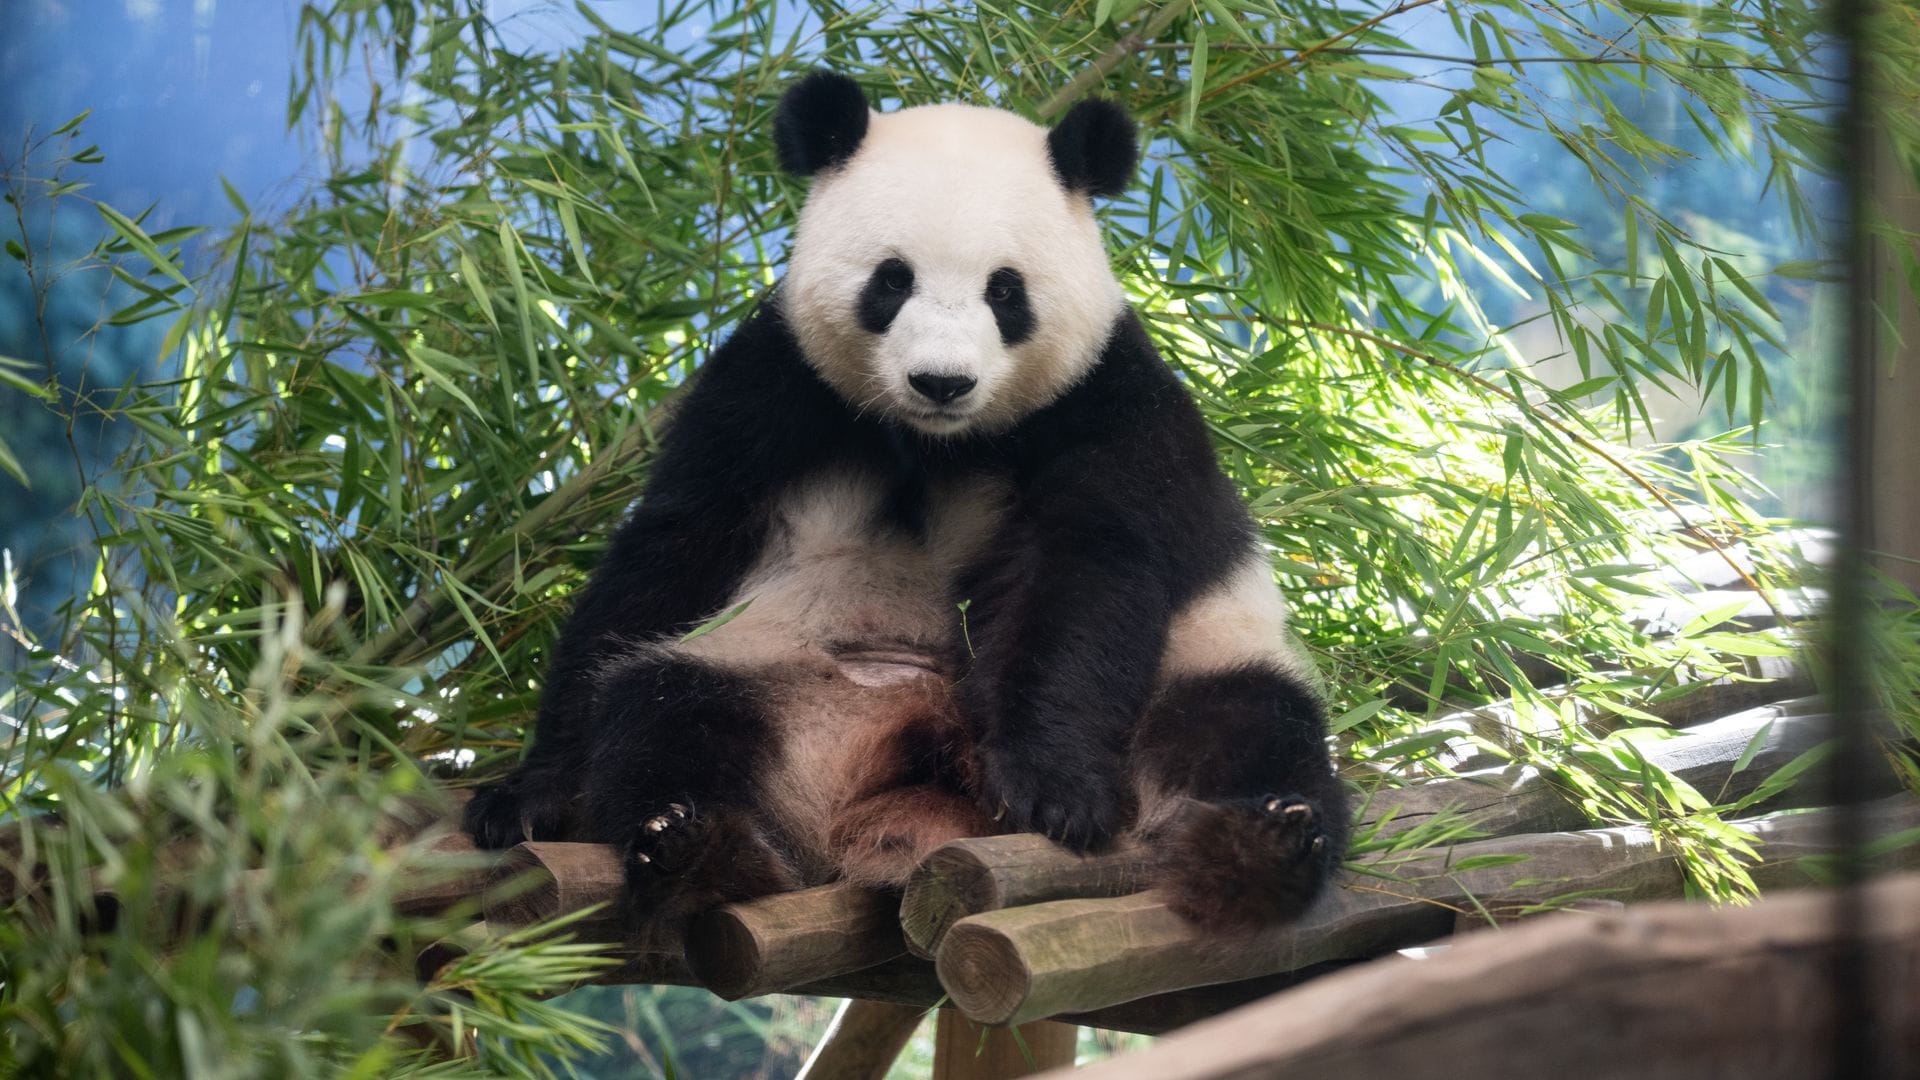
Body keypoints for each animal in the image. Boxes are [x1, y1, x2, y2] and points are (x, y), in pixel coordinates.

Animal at [465, 71, 1350, 934]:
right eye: (893, 280)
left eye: (1006, 291)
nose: (942, 381)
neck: (939, 440)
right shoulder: (773, 385)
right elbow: (677, 544)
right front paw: (528, 794)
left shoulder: (1105, 401)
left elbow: (1084, 569)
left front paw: (1056, 790)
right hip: (775, 679)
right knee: (664, 710)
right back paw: (692, 847)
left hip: (1201, 665)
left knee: (1249, 727)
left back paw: (1261, 847)